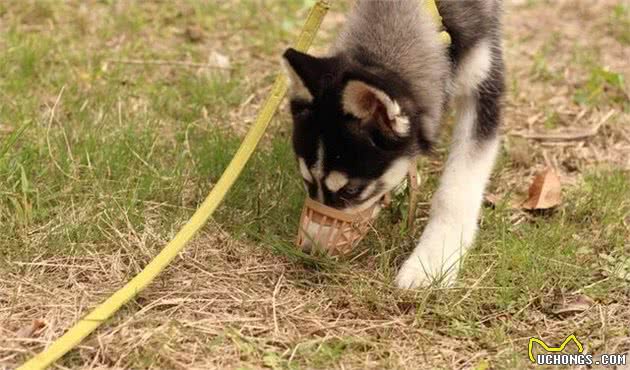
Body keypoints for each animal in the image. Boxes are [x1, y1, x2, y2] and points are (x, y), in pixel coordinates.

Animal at [284, 0, 506, 288]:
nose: (310, 252)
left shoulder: (485, 81)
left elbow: (456, 189)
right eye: (306, 181)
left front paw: (433, 260)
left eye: (352, 191)